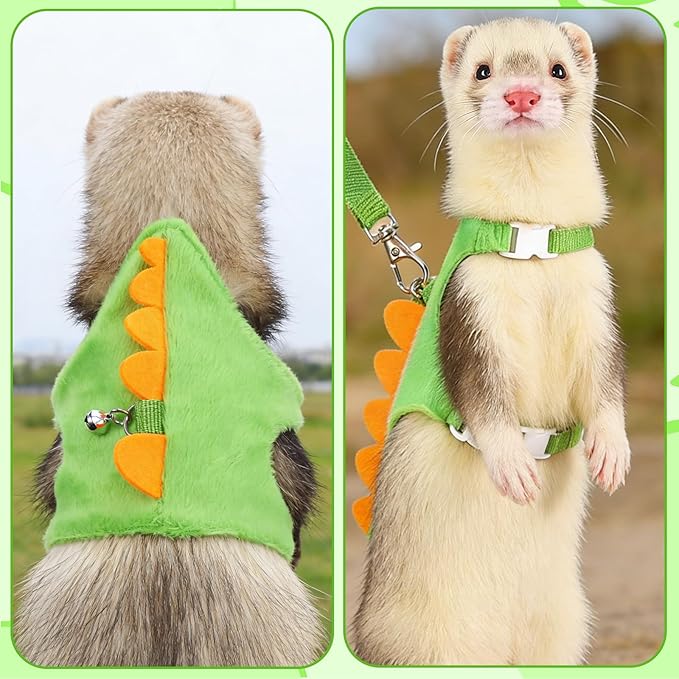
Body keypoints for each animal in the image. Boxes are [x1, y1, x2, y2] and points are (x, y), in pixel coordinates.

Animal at [352, 19, 630, 665]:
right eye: (483, 68)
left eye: (557, 67)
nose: (521, 94)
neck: (533, 250)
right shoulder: (468, 311)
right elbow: (481, 399)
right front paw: (513, 467)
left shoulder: (598, 306)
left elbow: (606, 387)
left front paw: (612, 450)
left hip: (562, 633)